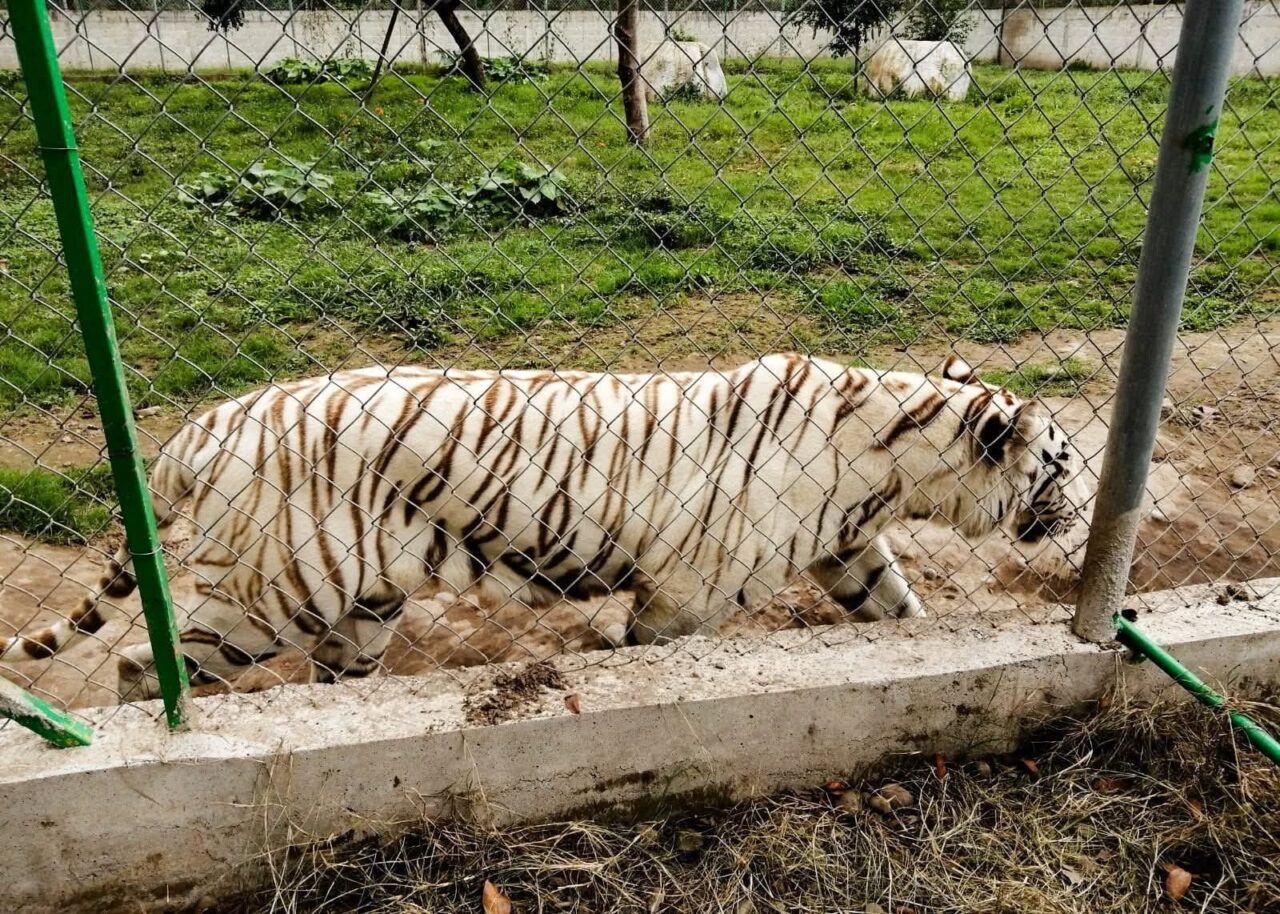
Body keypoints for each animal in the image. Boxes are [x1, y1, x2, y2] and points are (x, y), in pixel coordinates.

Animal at [0, 353, 1083, 698]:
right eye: (1066, 464)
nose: (1085, 511)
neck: (893, 460)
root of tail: (208, 420)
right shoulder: (685, 592)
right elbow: (650, 651)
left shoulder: (848, 546)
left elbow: (897, 610)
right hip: (275, 590)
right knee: (143, 666)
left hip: (363, 604)